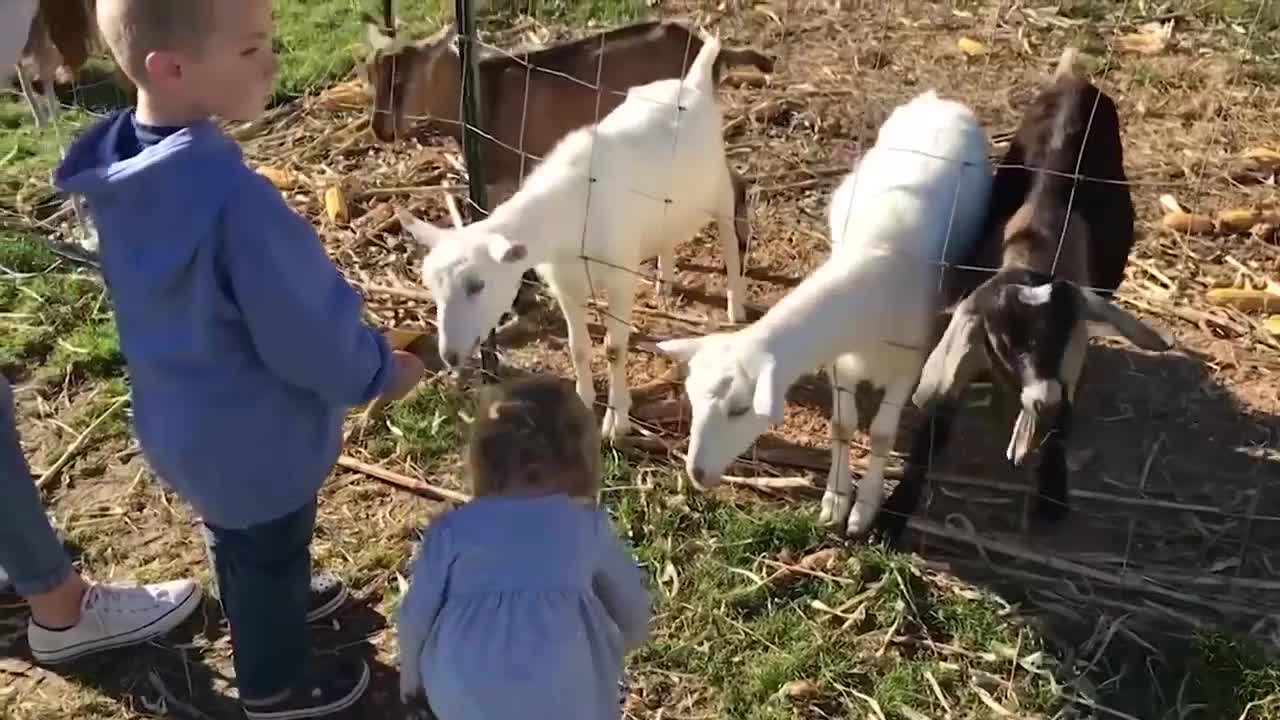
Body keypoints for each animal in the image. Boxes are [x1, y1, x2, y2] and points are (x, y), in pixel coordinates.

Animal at [394, 30, 747, 440]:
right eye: (431, 287)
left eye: (478, 284)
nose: (449, 355)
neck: (568, 211)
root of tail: (693, 81)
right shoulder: (564, 283)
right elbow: (578, 347)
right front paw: (583, 400)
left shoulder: (620, 278)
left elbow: (614, 348)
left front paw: (617, 423)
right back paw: (665, 281)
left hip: (717, 187)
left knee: (729, 230)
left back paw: (735, 303)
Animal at [655, 90, 993, 532]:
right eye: (692, 399)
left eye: (741, 409)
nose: (697, 473)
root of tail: (939, 100)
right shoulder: (839, 359)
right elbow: (842, 424)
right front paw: (835, 499)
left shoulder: (910, 361)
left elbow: (881, 433)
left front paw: (864, 509)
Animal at [875, 47, 1172, 540]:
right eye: (1007, 341)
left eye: (1058, 336)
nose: (1042, 399)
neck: (1036, 245)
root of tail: (1074, 80)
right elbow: (932, 431)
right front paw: (891, 514)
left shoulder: (1070, 358)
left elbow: (1061, 427)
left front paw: (1052, 497)